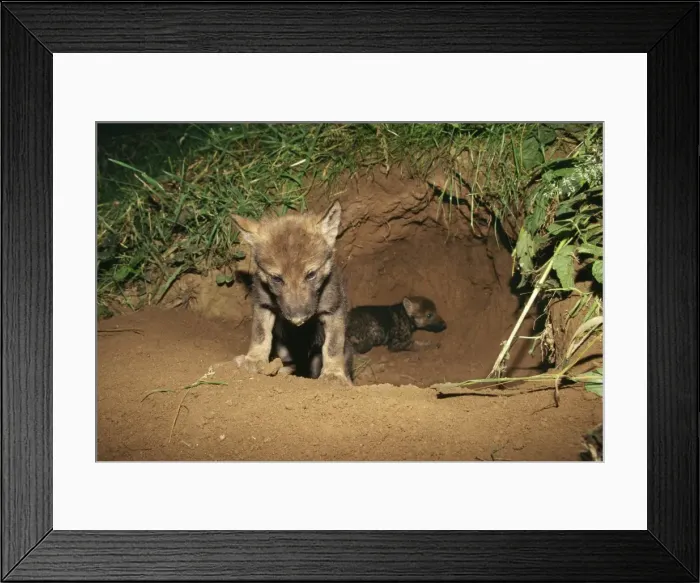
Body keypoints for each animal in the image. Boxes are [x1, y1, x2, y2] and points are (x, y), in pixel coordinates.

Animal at [231, 201, 353, 385]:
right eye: (277, 278)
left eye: (311, 274)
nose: (298, 319)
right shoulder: (262, 304)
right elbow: (260, 334)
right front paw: (254, 359)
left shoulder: (334, 309)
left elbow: (333, 346)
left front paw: (334, 374)